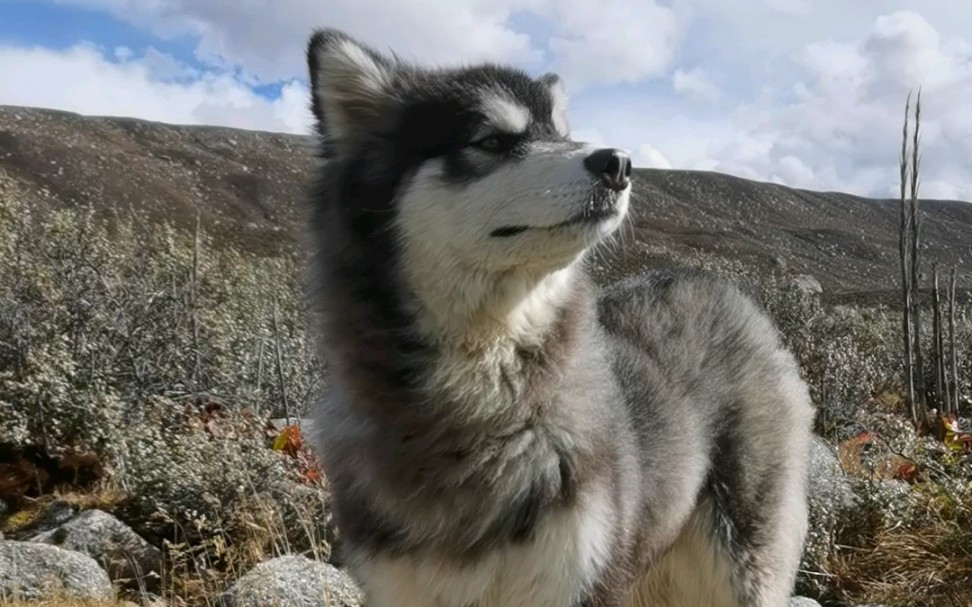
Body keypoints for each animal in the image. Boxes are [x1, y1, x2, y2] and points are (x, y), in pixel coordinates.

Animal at [302, 26, 812, 604]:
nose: (620, 163)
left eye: (563, 134)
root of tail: (714, 282)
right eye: (491, 141)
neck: (481, 409)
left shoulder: (582, 577)